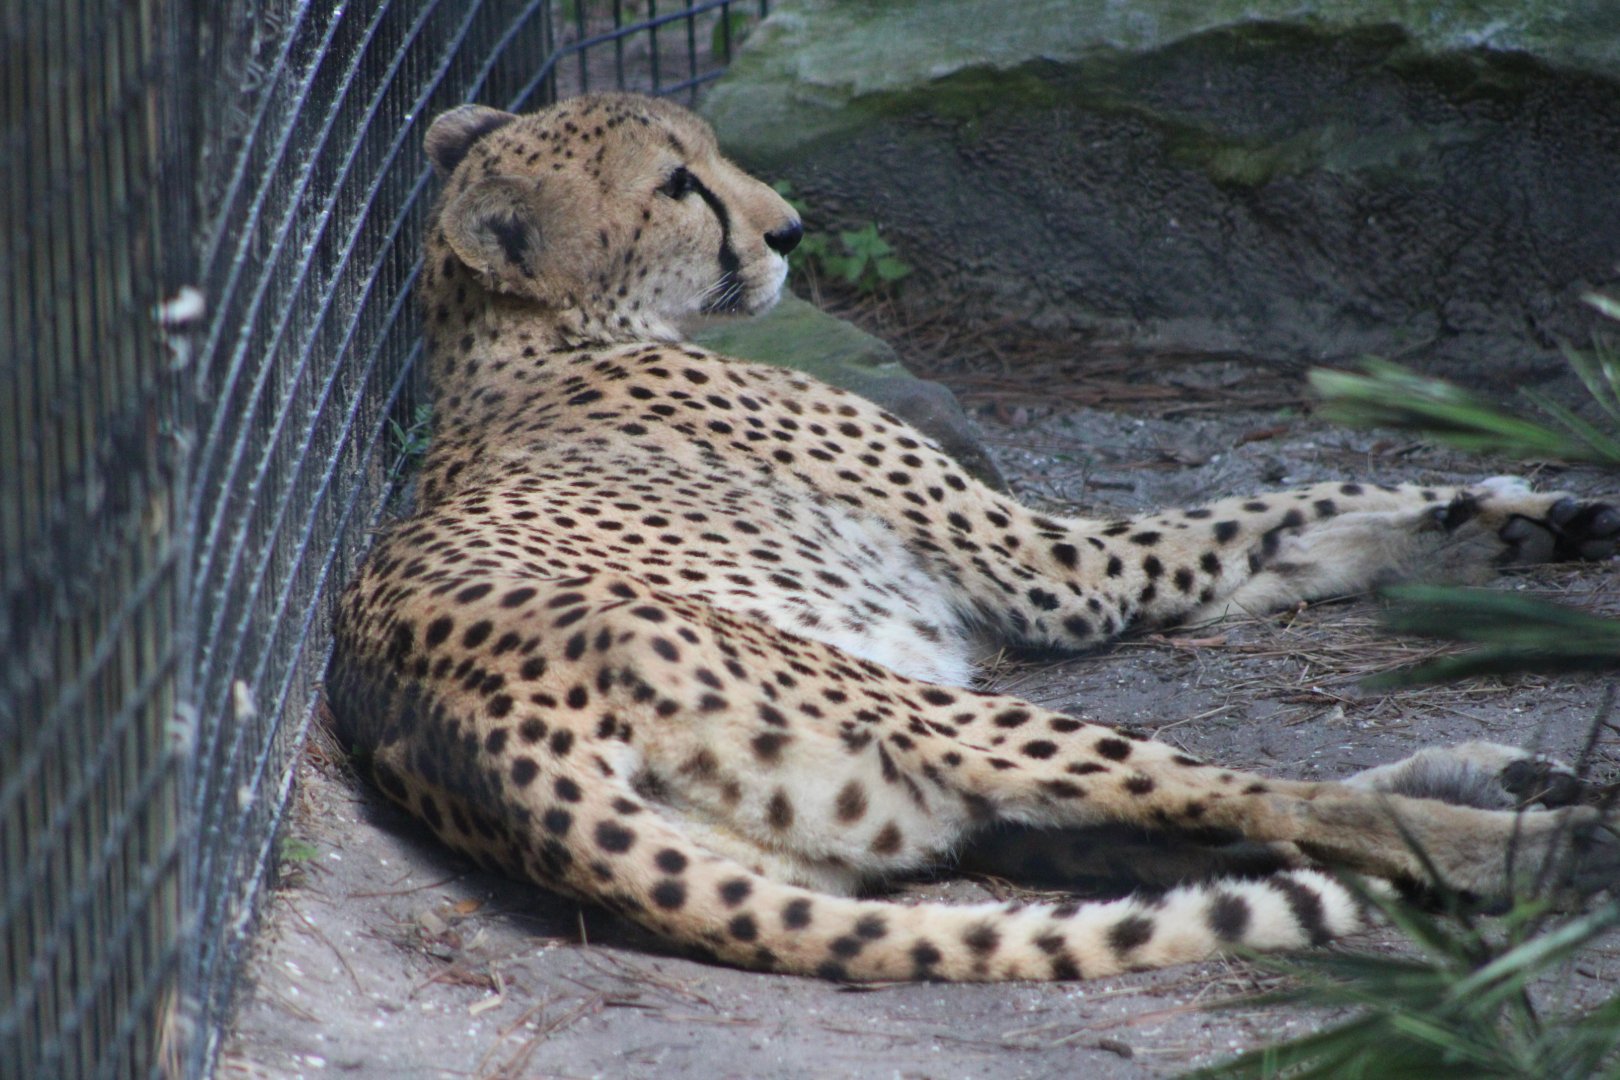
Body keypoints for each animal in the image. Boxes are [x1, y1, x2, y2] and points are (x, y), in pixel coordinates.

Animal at [326, 92, 1620, 983]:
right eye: (677, 184)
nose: (791, 230)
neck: (521, 340)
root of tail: (452, 726)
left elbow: (1294, 523)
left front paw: (1504, 519)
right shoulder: (1065, 573)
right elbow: (1249, 512)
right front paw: (1499, 511)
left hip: (884, 815)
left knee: (1156, 833)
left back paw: (1494, 778)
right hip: (933, 711)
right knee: (1260, 806)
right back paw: (1540, 842)